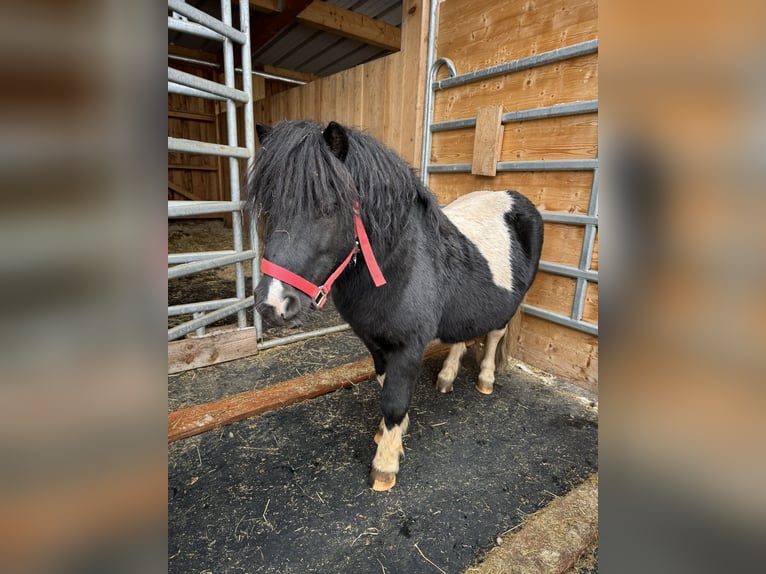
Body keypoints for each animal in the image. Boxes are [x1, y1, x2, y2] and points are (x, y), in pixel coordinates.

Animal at [249, 119, 544, 492]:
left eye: (328, 207)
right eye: (269, 207)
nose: (272, 304)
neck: (401, 264)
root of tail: (516, 198)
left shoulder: (409, 346)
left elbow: (394, 399)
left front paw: (385, 466)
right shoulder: (373, 341)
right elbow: (384, 383)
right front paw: (393, 433)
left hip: (508, 306)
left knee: (493, 335)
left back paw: (486, 380)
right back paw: (446, 377)